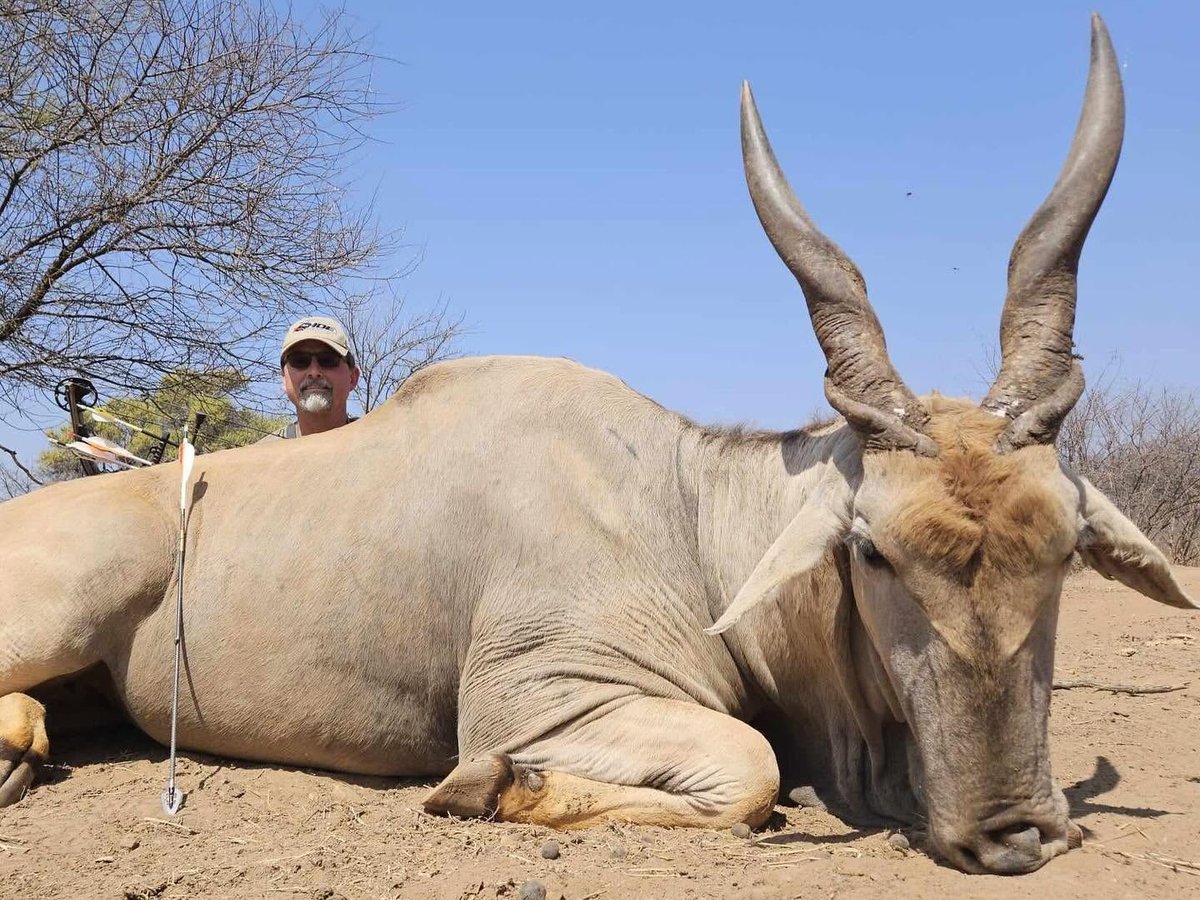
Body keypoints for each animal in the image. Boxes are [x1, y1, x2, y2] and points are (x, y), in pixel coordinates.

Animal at [0, 15, 1191, 875]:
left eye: (1065, 552)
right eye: (873, 551)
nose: (1016, 832)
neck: (685, 509)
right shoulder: (547, 698)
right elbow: (751, 769)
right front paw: (492, 786)